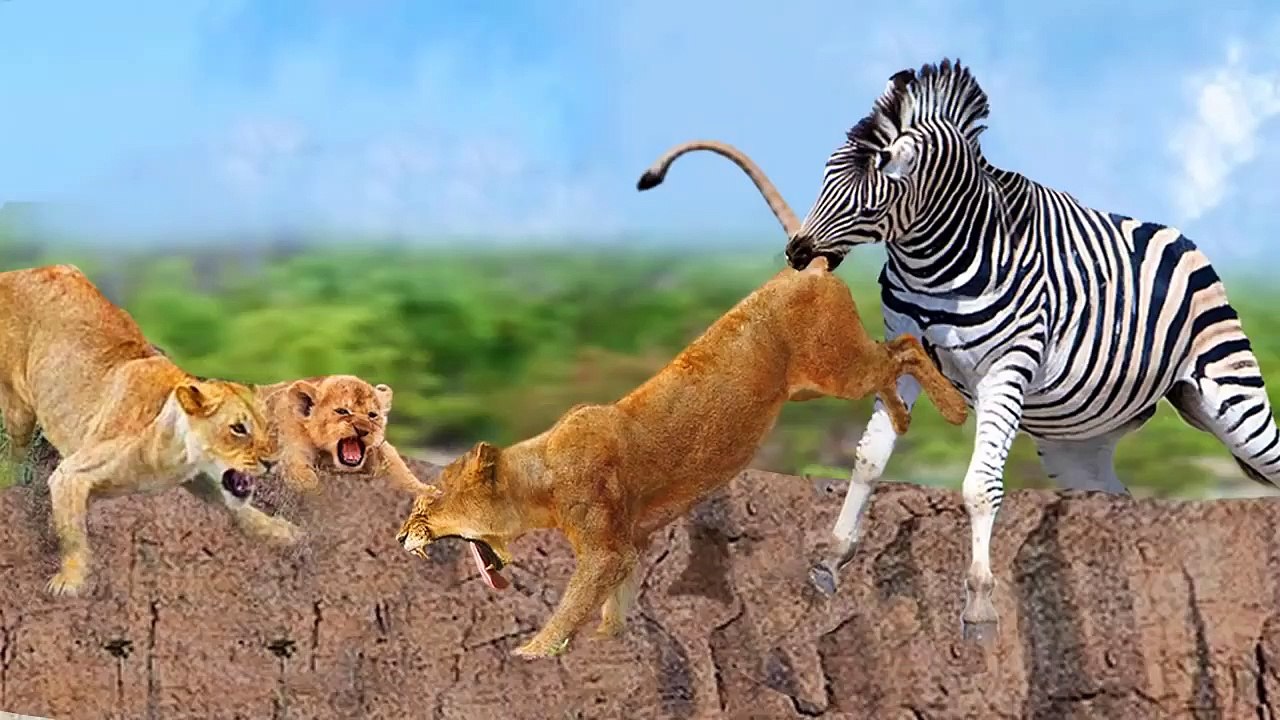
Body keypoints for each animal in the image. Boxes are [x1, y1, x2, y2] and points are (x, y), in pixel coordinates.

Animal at [0, 264, 296, 597]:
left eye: (265, 425)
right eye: (238, 428)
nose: (272, 462)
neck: (177, 451)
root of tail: (16, 272)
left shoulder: (199, 479)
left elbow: (240, 509)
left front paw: (280, 530)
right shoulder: (70, 474)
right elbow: (73, 536)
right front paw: (69, 581)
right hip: (18, 408)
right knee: (14, 455)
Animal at [395, 254, 968, 659]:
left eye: (429, 504)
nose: (401, 537)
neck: (539, 477)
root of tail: (807, 269)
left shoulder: (605, 549)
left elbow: (572, 605)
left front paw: (532, 652)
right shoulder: (631, 543)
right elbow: (617, 599)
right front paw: (610, 640)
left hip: (837, 368)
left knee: (907, 346)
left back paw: (954, 410)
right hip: (816, 382)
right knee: (895, 354)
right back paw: (902, 417)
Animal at [636, 58, 1280, 642]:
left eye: (870, 203)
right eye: (824, 179)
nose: (798, 253)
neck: (935, 262)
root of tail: (1180, 236)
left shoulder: (1006, 370)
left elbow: (979, 486)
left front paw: (979, 608)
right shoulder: (907, 357)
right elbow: (869, 459)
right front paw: (831, 558)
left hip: (1229, 395)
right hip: (1078, 442)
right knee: (1113, 497)